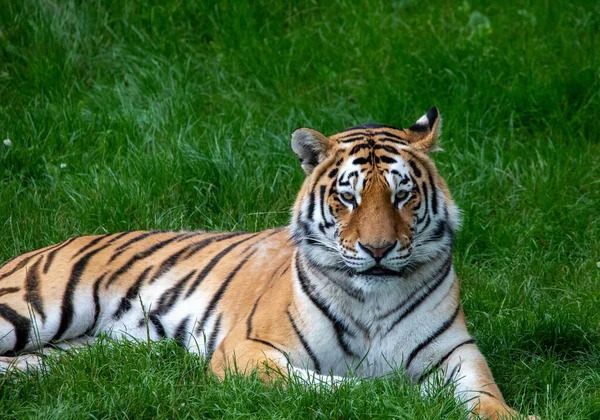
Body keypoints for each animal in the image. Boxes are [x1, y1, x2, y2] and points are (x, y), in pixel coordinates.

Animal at [0, 109, 536, 420]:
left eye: (402, 196)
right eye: (348, 198)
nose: (379, 250)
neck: (373, 299)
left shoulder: (455, 354)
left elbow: (487, 399)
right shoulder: (246, 350)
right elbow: (340, 389)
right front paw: (404, 399)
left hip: (67, 352)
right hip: (28, 309)